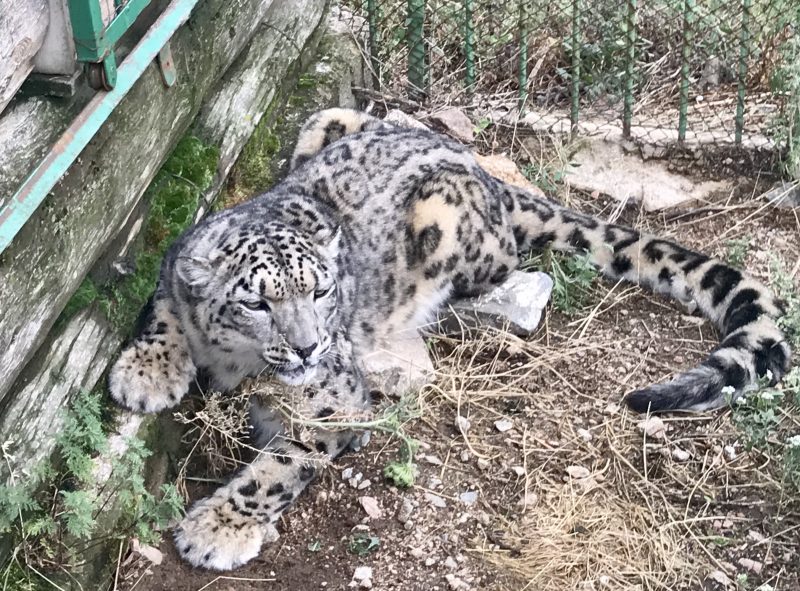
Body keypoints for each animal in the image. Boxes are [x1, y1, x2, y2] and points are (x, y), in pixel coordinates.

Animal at [108, 107, 791, 571]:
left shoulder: (336, 395)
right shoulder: (175, 273)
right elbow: (164, 309)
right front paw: (146, 374)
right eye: (256, 301)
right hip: (328, 119)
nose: (306, 347)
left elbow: (281, 465)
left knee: (507, 260)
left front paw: (217, 527)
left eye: (322, 291)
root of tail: (487, 174)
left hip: (452, 228)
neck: (236, 361)